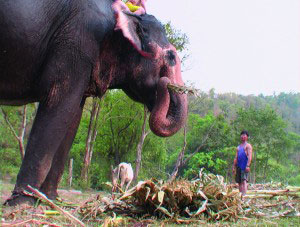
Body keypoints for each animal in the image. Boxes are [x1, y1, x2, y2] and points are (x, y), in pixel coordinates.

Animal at [0, 0, 188, 206]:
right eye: (171, 57)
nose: (165, 83)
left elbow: (73, 116)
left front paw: (52, 200)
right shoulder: (75, 45)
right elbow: (59, 104)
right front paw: (21, 203)